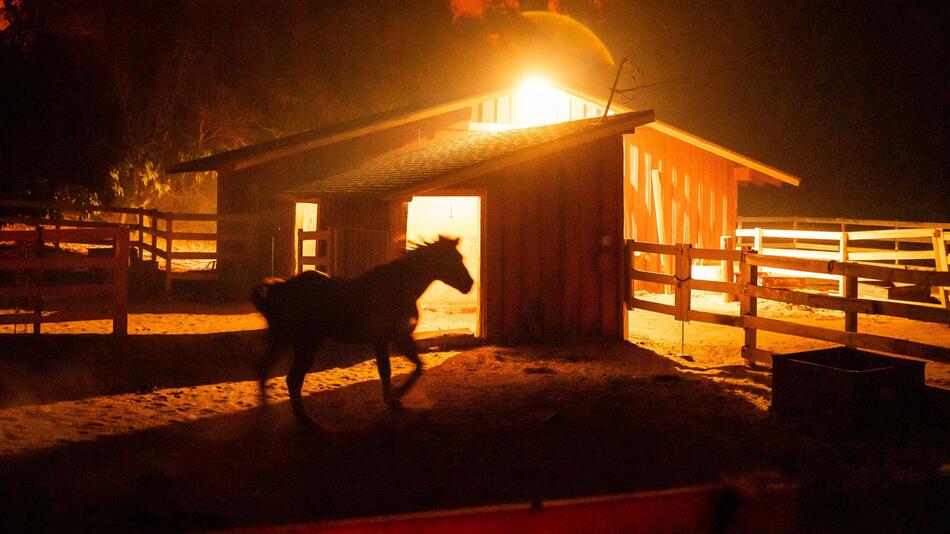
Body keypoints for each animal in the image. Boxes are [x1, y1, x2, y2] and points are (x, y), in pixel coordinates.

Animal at [253, 237, 476, 430]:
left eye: (460, 257)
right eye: (453, 259)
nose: (469, 285)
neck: (399, 287)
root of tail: (280, 287)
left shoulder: (390, 339)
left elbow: (402, 368)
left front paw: (393, 400)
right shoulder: (394, 337)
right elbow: (405, 368)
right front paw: (396, 396)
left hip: (283, 340)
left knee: (264, 367)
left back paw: (267, 409)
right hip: (306, 344)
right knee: (292, 380)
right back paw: (308, 423)